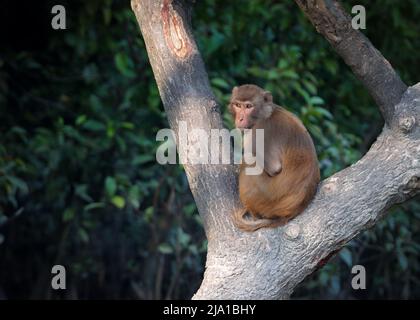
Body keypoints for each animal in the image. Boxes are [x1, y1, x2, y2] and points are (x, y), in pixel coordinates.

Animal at [228, 84, 320, 231]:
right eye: (237, 105)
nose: (240, 119)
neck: (267, 114)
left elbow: (274, 168)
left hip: (265, 198)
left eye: (248, 106)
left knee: (249, 161)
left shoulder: (259, 131)